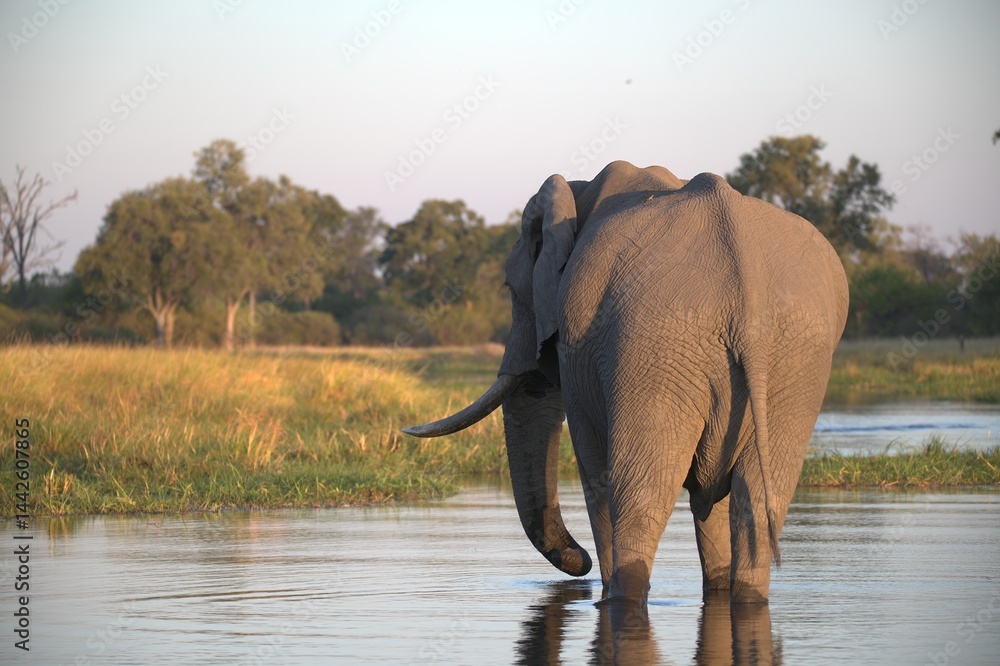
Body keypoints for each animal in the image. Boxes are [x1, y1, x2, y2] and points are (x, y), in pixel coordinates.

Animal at [404, 160, 848, 605]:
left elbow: (593, 465)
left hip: (660, 344)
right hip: (793, 361)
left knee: (640, 494)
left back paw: (619, 598)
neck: (580, 193)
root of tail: (747, 293)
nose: (578, 564)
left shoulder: (579, 348)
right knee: (755, 495)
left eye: (511, 291)